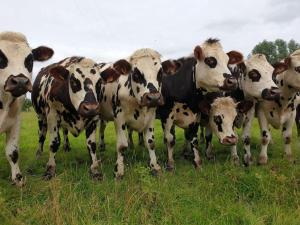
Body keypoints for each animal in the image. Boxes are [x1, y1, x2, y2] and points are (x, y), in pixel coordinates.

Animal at [0, 31, 53, 186]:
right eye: (0, 57)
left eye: (30, 60)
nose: (20, 82)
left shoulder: (15, 120)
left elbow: (13, 151)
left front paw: (17, 178)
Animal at [95, 48, 164, 178]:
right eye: (136, 74)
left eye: (161, 73)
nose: (153, 98)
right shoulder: (119, 117)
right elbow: (122, 146)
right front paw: (119, 170)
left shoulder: (151, 117)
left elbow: (151, 143)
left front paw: (155, 166)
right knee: (101, 129)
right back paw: (101, 146)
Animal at [157, 38, 244, 171]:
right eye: (210, 60)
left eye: (227, 61)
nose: (232, 81)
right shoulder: (166, 116)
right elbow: (170, 139)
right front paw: (170, 164)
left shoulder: (196, 117)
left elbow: (195, 138)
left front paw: (199, 161)